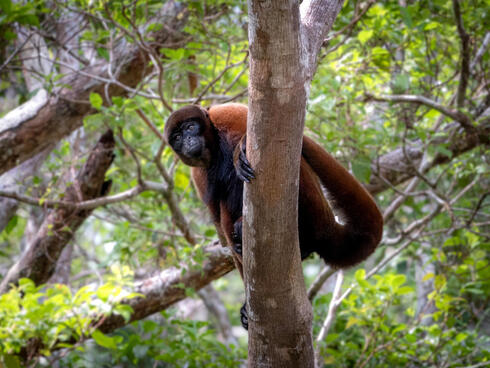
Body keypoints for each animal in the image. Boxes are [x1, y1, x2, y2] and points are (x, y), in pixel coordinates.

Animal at [165, 103, 382, 330]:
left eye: (190, 127)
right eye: (177, 137)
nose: (188, 140)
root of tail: (327, 225)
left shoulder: (225, 114)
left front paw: (240, 150)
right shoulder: (198, 176)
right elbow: (220, 225)